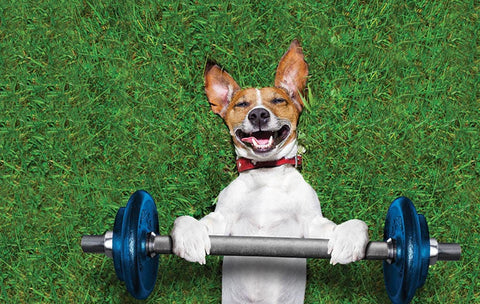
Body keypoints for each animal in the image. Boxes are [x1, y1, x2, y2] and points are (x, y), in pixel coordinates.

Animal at [171, 40, 370, 304]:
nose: (258, 114)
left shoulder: (313, 224)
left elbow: (350, 225)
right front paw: (189, 236)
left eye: (278, 101)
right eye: (241, 104)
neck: (267, 176)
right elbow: (187, 220)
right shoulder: (221, 220)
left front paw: (350, 238)